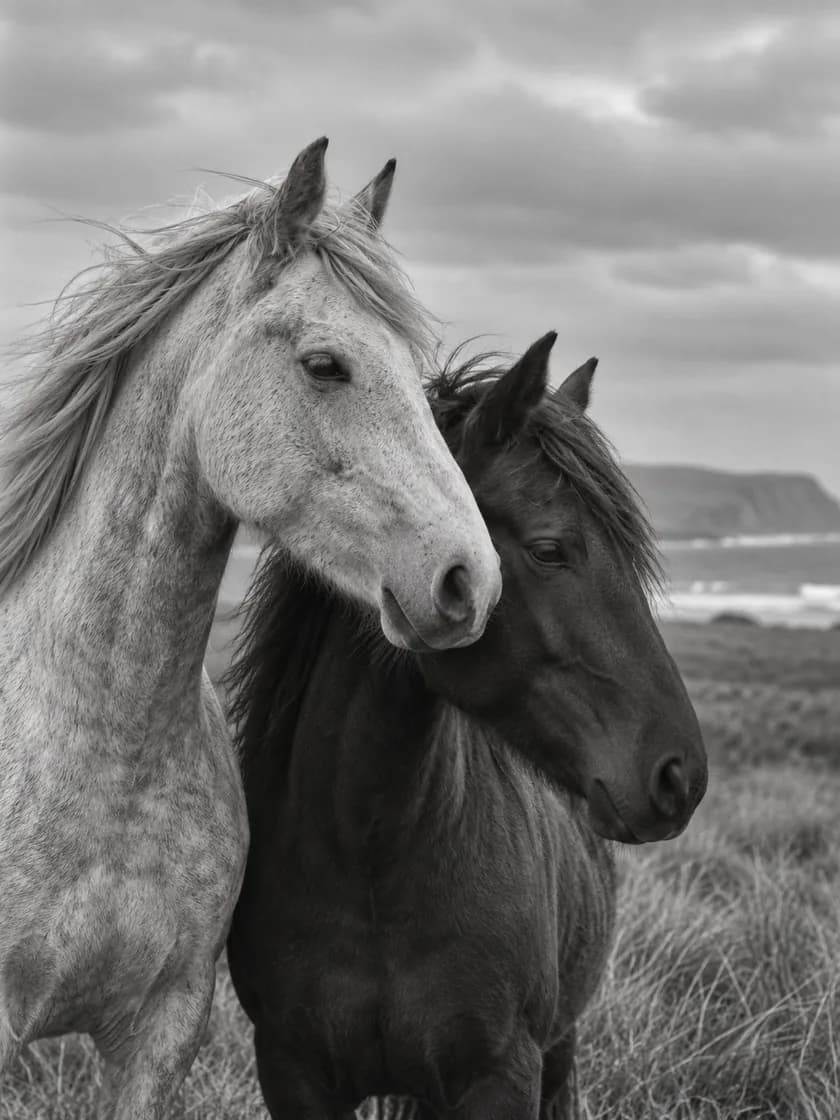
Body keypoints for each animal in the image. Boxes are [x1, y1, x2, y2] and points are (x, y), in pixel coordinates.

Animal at [225, 332, 709, 1119]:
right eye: (549, 549)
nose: (680, 776)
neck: (367, 857)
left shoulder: (502, 1074)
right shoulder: (291, 1070)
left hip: (560, 1050)